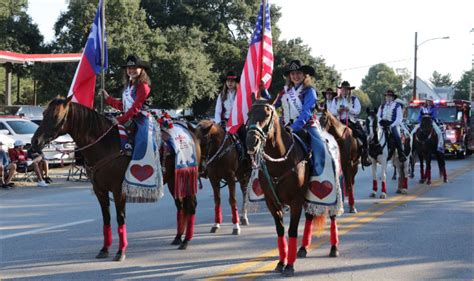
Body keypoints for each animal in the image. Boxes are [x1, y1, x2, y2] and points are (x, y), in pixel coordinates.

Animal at [29, 97, 200, 262]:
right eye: (44, 114)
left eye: (57, 116)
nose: (35, 142)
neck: (106, 145)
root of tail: (189, 129)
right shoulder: (100, 190)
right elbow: (106, 218)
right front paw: (104, 249)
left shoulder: (119, 190)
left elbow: (120, 218)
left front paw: (120, 251)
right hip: (174, 180)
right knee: (180, 206)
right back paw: (178, 237)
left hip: (186, 176)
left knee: (190, 205)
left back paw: (186, 241)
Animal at [246, 97, 342, 276]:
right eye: (248, 114)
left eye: (267, 114)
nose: (251, 142)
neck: (280, 161)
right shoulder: (272, 202)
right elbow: (280, 230)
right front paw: (281, 262)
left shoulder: (296, 201)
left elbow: (292, 230)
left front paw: (289, 265)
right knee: (310, 216)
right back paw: (303, 248)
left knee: (332, 214)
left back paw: (334, 248)